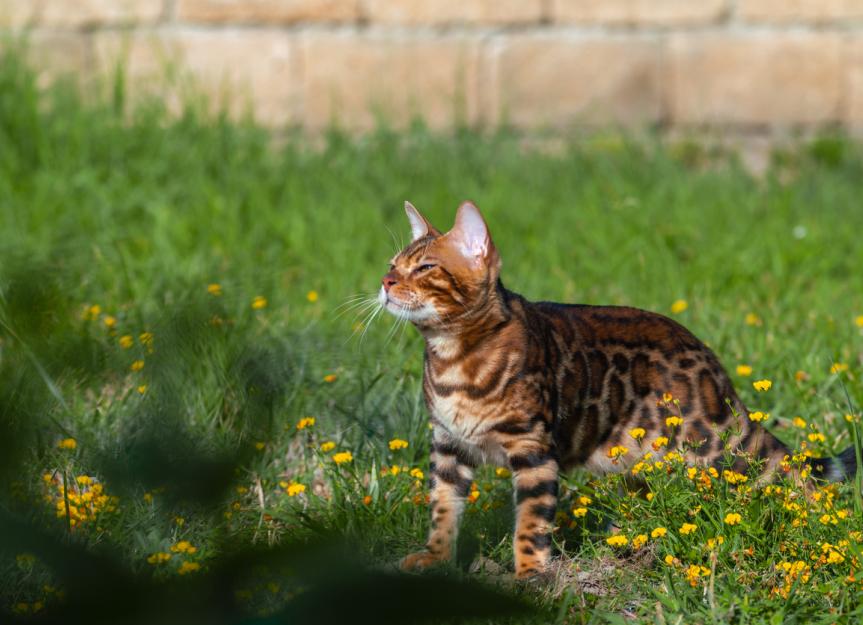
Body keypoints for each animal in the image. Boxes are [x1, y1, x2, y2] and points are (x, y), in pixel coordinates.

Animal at [380, 202, 856, 576]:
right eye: (392, 264)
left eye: (425, 268)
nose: (385, 283)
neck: (452, 357)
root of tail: (713, 364)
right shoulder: (447, 446)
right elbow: (443, 508)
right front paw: (436, 558)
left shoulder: (533, 449)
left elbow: (531, 522)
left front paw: (530, 575)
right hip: (639, 456)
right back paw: (633, 539)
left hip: (713, 448)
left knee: (785, 476)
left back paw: (823, 522)